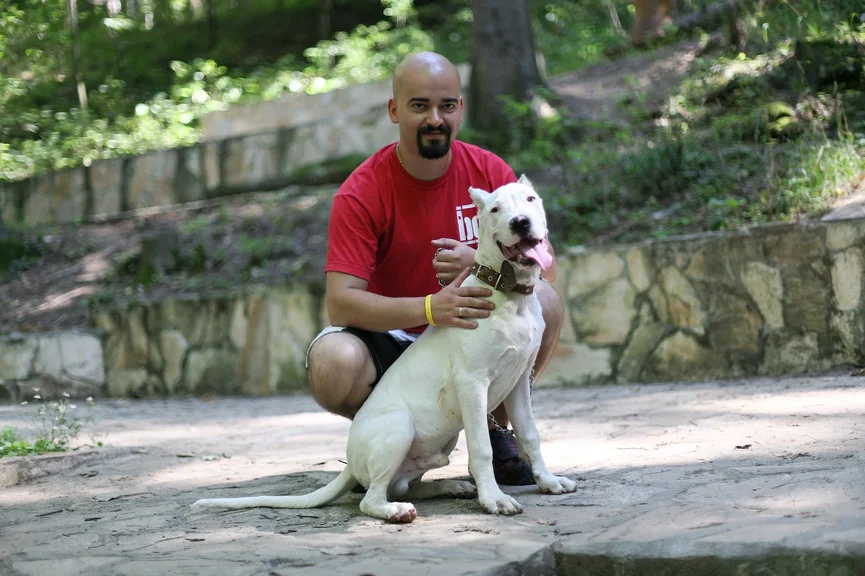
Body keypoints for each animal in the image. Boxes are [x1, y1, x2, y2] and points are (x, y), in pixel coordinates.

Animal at [192, 176, 576, 520]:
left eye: (530, 199)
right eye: (495, 209)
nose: (521, 222)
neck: (509, 295)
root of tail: (349, 462)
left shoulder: (518, 380)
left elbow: (530, 434)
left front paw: (548, 481)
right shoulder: (472, 383)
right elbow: (481, 446)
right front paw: (493, 500)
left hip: (435, 446)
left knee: (405, 484)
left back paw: (448, 487)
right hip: (399, 427)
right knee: (371, 498)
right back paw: (395, 510)